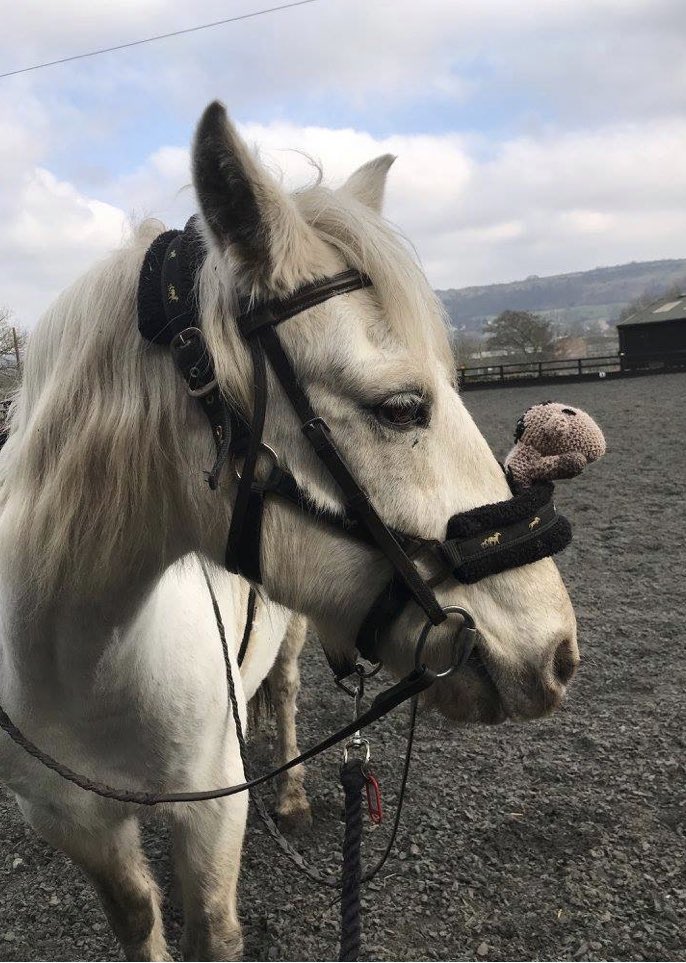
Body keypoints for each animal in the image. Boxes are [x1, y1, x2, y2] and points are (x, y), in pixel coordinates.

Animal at [0, 101, 578, 961]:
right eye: (401, 407)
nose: (559, 651)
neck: (84, 661)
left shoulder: (213, 813)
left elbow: (211, 928)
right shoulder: (76, 826)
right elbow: (139, 920)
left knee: (286, 693)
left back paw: (297, 792)